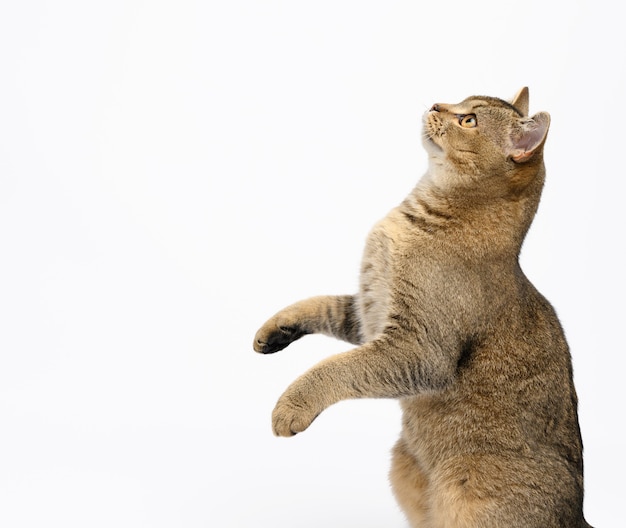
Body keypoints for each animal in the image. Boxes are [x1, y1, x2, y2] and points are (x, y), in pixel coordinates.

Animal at [250, 88, 588, 524]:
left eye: (469, 121)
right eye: (462, 101)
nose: (436, 104)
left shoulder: (418, 348)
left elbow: (336, 368)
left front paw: (291, 406)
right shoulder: (370, 311)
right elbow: (322, 305)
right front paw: (275, 329)